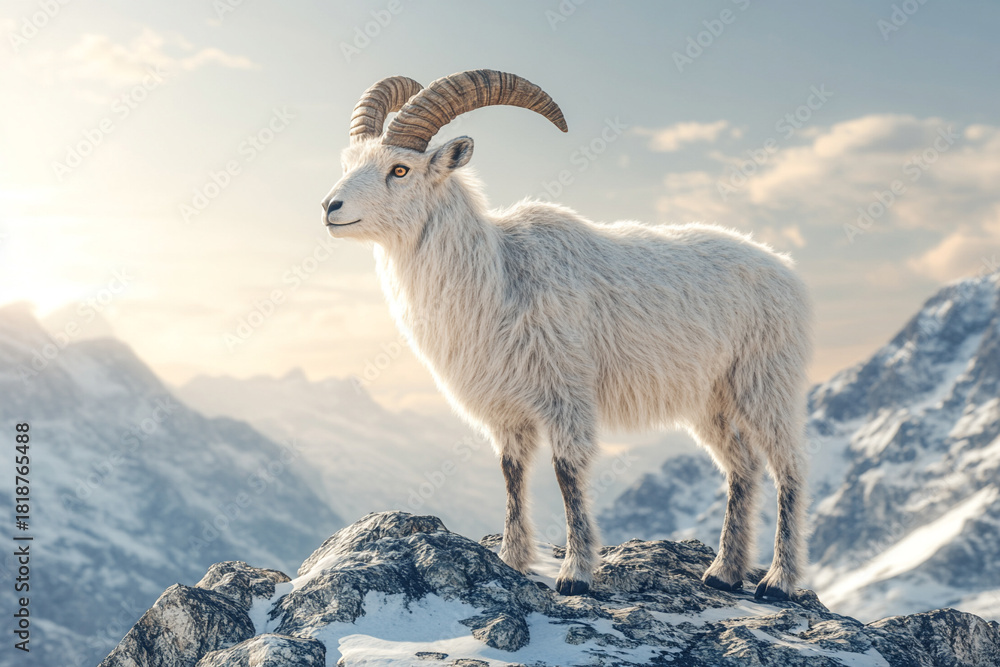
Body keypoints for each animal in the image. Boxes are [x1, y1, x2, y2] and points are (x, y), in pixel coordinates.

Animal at [321, 70, 812, 599]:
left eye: (400, 169)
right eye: (349, 164)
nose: (330, 207)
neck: (500, 275)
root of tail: (787, 271)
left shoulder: (566, 394)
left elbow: (567, 472)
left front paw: (575, 574)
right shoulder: (506, 411)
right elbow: (512, 473)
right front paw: (512, 559)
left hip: (766, 385)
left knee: (788, 467)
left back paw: (778, 581)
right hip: (710, 403)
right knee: (743, 467)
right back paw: (724, 571)